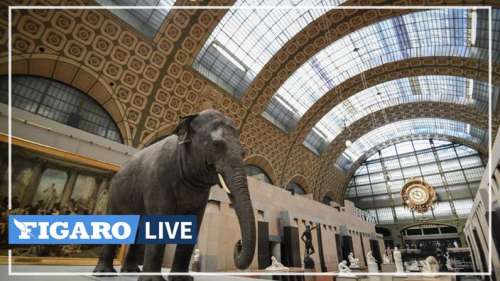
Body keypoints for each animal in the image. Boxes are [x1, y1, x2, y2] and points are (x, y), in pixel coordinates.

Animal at [94, 109, 256, 280]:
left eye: (243, 153)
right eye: (216, 144)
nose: (238, 244)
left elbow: (194, 221)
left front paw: (181, 279)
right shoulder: (158, 179)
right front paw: (153, 280)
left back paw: (131, 272)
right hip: (114, 193)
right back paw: (104, 274)